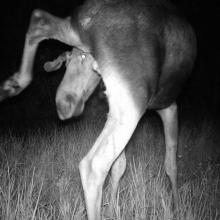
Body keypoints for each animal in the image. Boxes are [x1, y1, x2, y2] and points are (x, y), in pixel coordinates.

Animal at [0, 0, 196, 219]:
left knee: (39, 18)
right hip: (132, 103)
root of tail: (93, 17)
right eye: (66, 63)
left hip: (75, 32)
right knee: (93, 166)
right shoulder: (169, 106)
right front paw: (178, 208)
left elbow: (120, 166)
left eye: (89, 65)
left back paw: (14, 84)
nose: (63, 105)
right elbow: (171, 164)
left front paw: (112, 209)